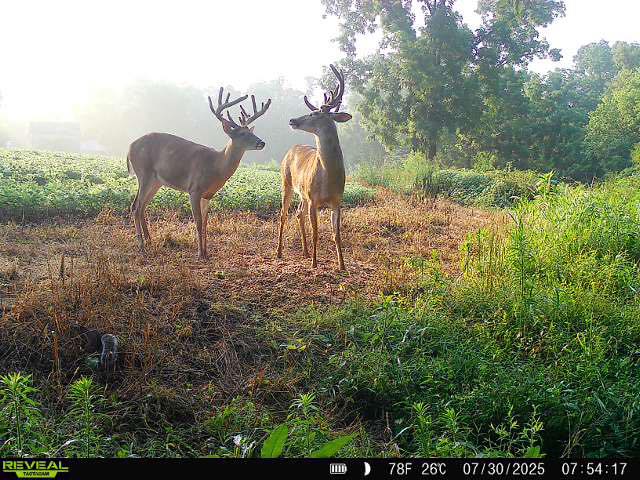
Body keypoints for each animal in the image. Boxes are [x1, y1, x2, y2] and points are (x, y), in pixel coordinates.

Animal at [127, 88, 271, 260]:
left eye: (251, 131)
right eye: (242, 134)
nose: (261, 142)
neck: (217, 166)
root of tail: (129, 147)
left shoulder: (208, 195)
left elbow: (206, 222)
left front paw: (206, 252)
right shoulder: (194, 189)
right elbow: (198, 221)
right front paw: (199, 254)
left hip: (156, 181)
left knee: (142, 206)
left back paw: (149, 241)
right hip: (144, 173)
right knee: (135, 206)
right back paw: (141, 246)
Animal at [276, 65, 352, 271]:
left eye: (314, 114)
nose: (292, 120)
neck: (328, 177)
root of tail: (292, 148)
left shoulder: (337, 201)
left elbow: (336, 234)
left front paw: (342, 265)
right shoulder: (313, 199)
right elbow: (316, 232)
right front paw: (315, 263)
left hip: (302, 193)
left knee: (298, 214)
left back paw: (305, 251)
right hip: (286, 183)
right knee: (283, 214)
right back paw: (279, 252)